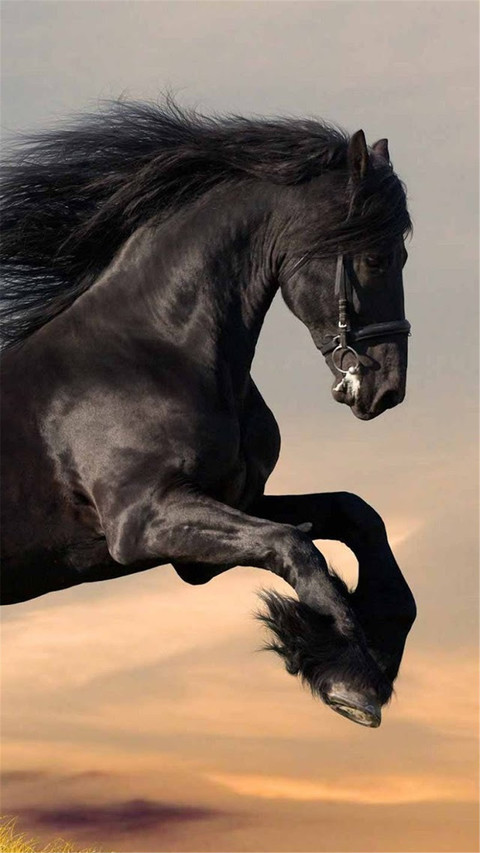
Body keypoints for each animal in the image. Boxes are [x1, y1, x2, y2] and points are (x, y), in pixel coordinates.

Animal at [0, 99, 416, 728]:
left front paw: (379, 641)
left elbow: (353, 515)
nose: (387, 387)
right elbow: (296, 548)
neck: (155, 350)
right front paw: (352, 677)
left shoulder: (229, 505)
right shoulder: (146, 521)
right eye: (374, 256)